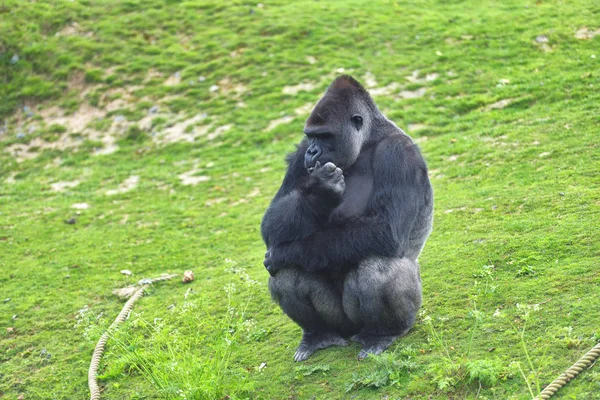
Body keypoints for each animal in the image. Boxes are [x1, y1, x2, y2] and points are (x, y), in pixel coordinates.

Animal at [260, 73, 434, 360]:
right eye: (311, 137)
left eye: (325, 136)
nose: (313, 152)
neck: (368, 140)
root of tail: (351, 333)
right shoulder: (299, 154)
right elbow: (271, 222)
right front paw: (318, 192)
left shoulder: (399, 153)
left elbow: (385, 231)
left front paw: (283, 253)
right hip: (340, 324)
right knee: (289, 273)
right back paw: (319, 334)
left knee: (378, 267)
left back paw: (382, 333)